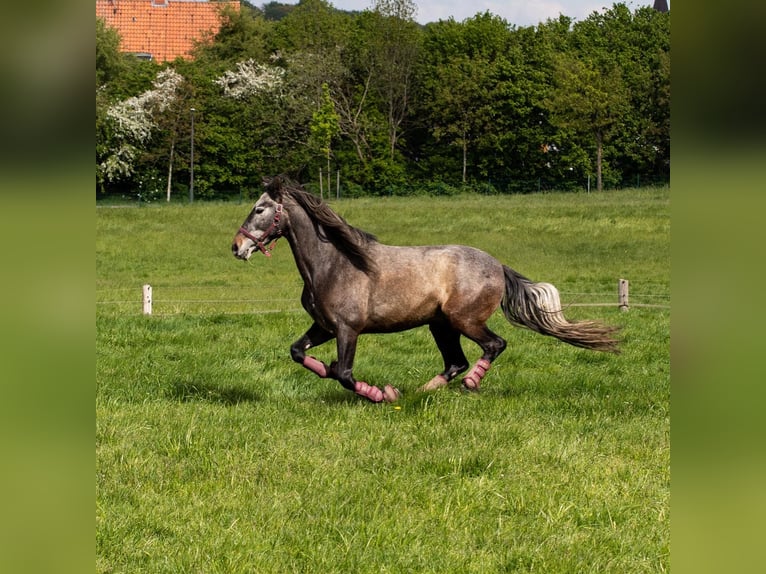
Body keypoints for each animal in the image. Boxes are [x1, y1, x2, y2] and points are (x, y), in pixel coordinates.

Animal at [231, 177, 620, 404]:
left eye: (260, 208)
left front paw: (380, 394)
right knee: (455, 362)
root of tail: (498, 265)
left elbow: (345, 374)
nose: (237, 247)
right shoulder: (324, 327)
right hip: (440, 325)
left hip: (464, 320)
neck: (333, 264)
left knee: (493, 346)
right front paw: (340, 373)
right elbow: (299, 353)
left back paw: (465, 385)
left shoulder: (347, 329)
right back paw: (419, 392)